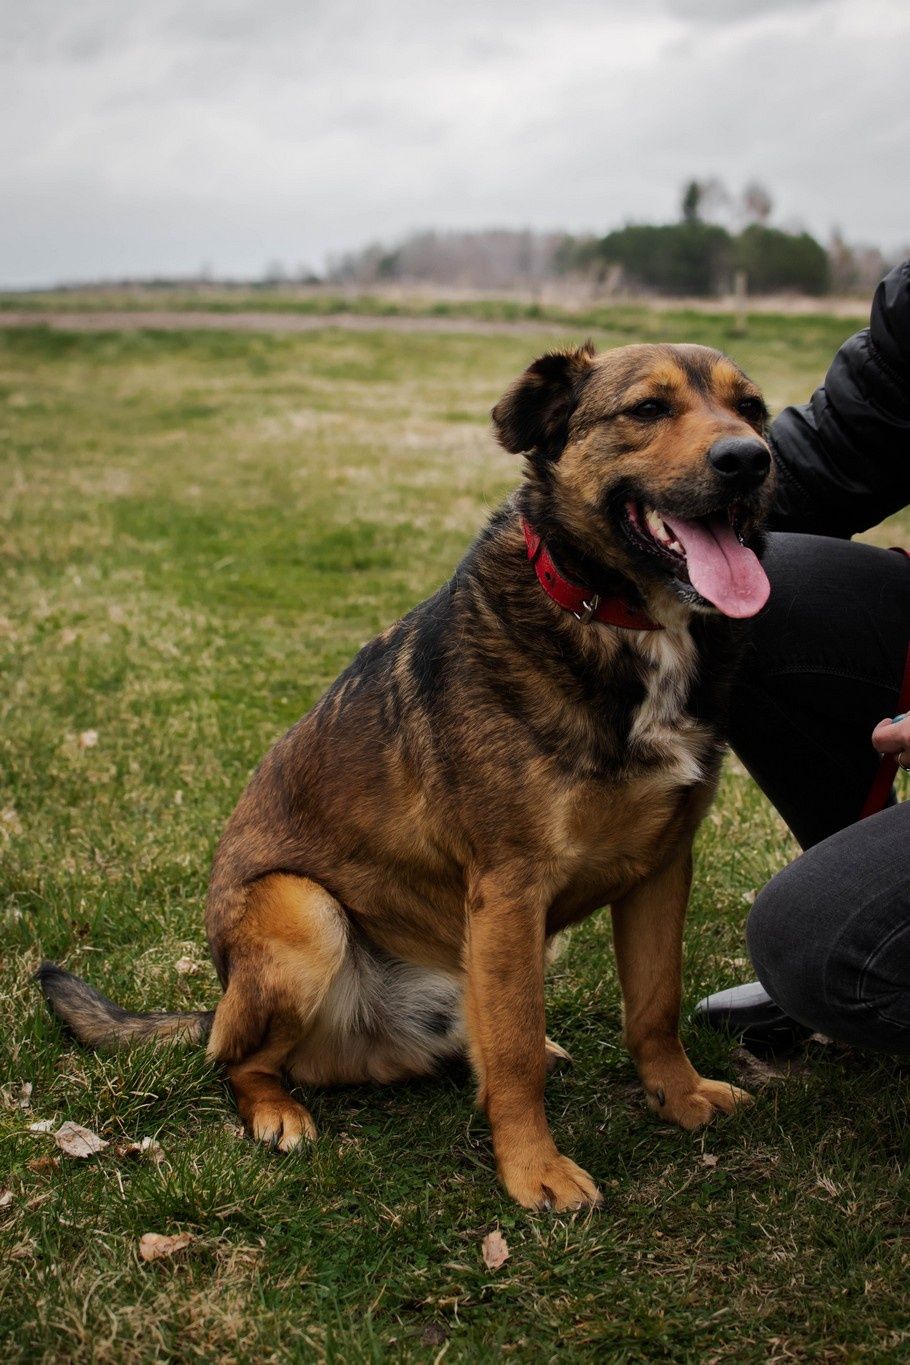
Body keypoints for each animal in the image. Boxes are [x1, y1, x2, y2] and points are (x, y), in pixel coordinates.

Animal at [39, 343, 774, 1217]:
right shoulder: (510, 886)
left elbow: (653, 1008)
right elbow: (514, 1052)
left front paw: (680, 1095)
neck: (617, 620)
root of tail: (216, 1003)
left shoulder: (661, 868)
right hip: (304, 913)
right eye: (648, 409)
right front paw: (534, 1169)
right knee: (240, 1063)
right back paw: (278, 1112)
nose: (750, 460)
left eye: (754, 408)